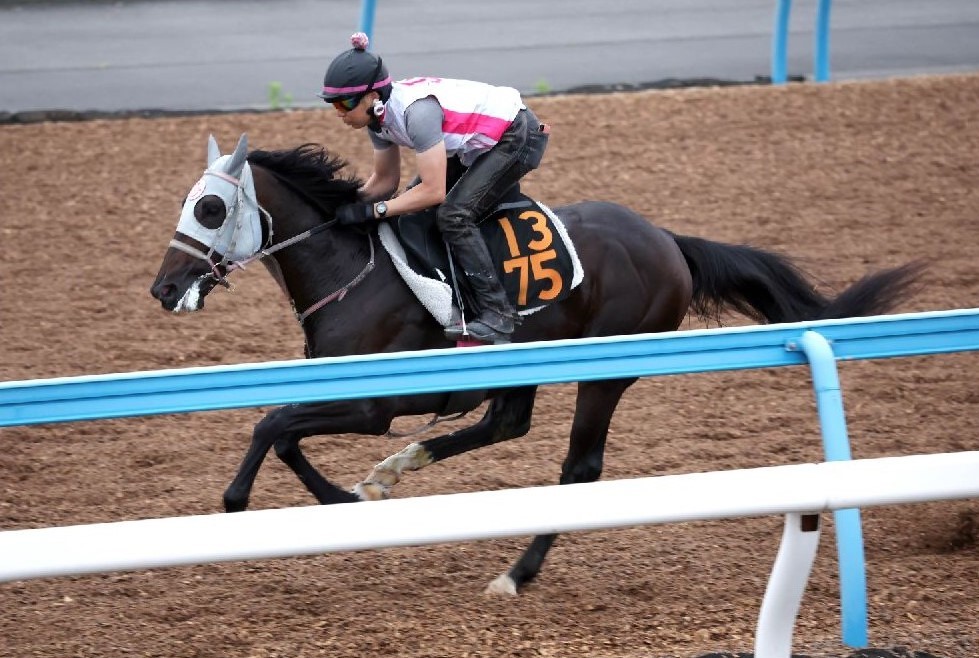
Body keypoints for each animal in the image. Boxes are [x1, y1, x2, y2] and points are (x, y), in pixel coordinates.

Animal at [149, 133, 924, 596]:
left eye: (210, 207)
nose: (163, 288)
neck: (352, 268)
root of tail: (666, 238)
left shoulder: (376, 403)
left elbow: (272, 425)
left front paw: (254, 502)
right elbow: (281, 429)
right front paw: (349, 495)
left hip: (605, 369)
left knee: (577, 468)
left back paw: (516, 573)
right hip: (526, 362)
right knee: (505, 423)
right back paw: (399, 469)